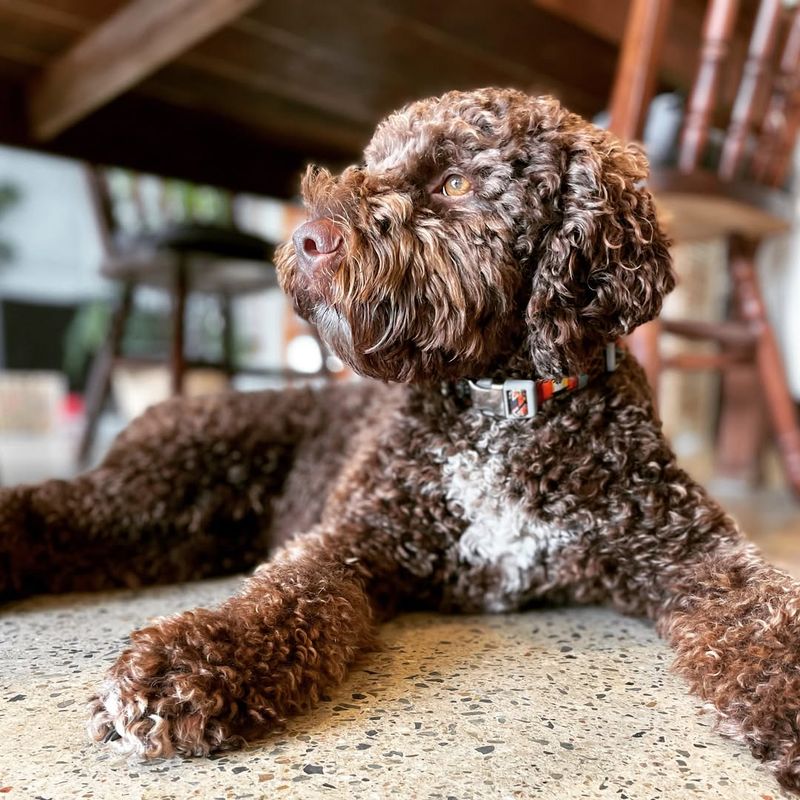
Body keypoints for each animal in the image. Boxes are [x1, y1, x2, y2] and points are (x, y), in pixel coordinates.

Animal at [1, 90, 800, 792]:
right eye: (375, 164)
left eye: (456, 181)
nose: (307, 240)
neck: (502, 407)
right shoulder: (354, 538)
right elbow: (285, 595)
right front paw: (185, 664)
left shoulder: (692, 549)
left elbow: (764, 616)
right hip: (160, 486)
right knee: (52, 505)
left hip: (181, 531)